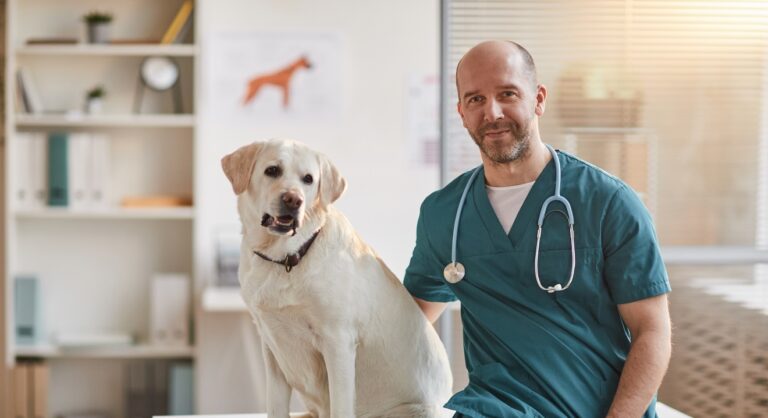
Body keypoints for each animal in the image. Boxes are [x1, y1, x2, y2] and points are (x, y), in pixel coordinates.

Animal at [220, 139, 450, 416]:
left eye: (308, 179)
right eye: (272, 170)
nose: (293, 200)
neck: (287, 257)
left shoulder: (338, 342)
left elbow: (340, 406)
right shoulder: (271, 346)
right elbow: (275, 407)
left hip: (418, 409)